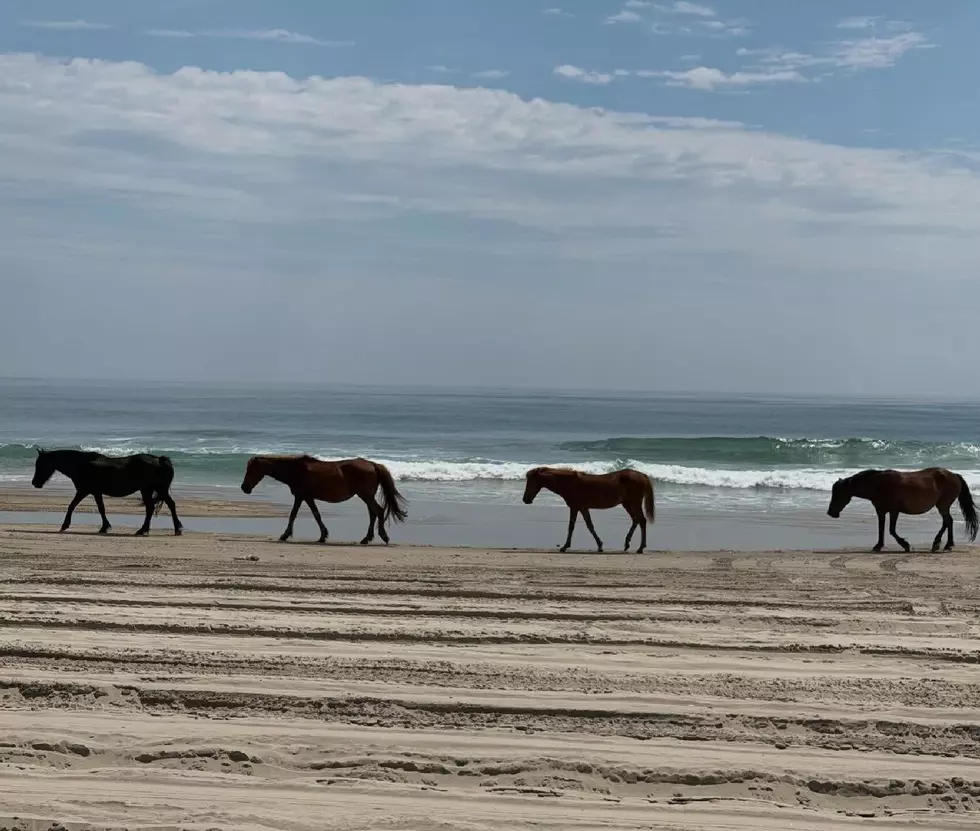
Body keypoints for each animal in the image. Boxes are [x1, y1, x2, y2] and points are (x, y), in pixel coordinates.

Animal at [31, 447, 183, 536]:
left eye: (40, 464)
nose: (35, 483)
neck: (81, 465)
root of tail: (159, 460)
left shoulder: (83, 491)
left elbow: (72, 506)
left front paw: (64, 526)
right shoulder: (95, 492)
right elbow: (101, 508)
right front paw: (105, 527)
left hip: (156, 489)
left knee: (169, 505)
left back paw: (175, 529)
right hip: (148, 490)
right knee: (152, 507)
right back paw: (144, 530)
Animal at [240, 455, 408, 544]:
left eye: (251, 469)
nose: (244, 488)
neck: (296, 470)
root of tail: (373, 464)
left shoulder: (302, 497)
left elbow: (294, 515)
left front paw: (285, 535)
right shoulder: (308, 498)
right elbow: (316, 515)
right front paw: (323, 535)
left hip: (366, 495)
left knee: (378, 511)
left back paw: (383, 536)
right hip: (366, 495)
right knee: (373, 514)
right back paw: (366, 538)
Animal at [522, 466, 655, 553]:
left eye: (531, 481)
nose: (525, 499)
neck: (568, 483)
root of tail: (642, 475)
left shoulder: (575, 507)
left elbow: (571, 526)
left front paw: (564, 547)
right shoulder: (583, 508)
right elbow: (590, 526)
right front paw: (600, 546)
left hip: (634, 503)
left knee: (641, 520)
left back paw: (640, 548)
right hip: (627, 503)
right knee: (636, 520)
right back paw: (627, 544)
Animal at [827, 467, 979, 553]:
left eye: (838, 493)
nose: (830, 512)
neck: (878, 484)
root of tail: (954, 475)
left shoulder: (894, 511)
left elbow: (891, 530)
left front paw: (905, 545)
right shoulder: (881, 511)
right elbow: (881, 529)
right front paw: (878, 546)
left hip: (942, 505)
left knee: (947, 521)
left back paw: (939, 544)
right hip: (943, 506)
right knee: (949, 522)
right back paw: (947, 545)